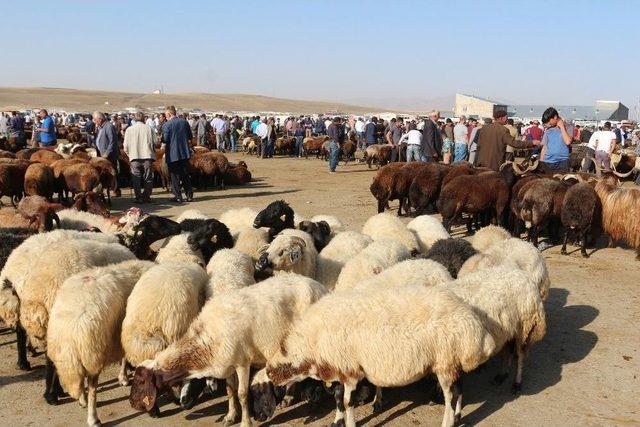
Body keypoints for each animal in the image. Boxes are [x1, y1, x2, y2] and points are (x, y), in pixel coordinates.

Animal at [47, 260, 156, 426]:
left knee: (80, 381)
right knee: (92, 389)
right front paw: (124, 377)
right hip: (93, 354)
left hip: (79, 357)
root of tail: (72, 329)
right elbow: (124, 357)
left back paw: (82, 400)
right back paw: (93, 418)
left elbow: (123, 356)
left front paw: (123, 377)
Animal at [131, 274, 330, 427]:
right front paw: (230, 416)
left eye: (141, 381)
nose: (133, 404)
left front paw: (245, 422)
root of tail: (320, 286)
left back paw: (289, 397)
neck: (206, 341)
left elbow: (242, 394)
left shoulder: (243, 363)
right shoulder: (227, 364)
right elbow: (229, 391)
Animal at [264, 284, 496, 427]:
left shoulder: (350, 371)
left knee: (451, 396)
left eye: (283, 367)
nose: (269, 375)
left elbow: (347, 402)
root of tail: (475, 326)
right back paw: (457, 417)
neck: (314, 340)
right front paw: (339, 420)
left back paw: (448, 422)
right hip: (452, 362)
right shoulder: (342, 370)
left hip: (445, 363)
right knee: (459, 388)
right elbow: (339, 400)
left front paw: (350, 423)